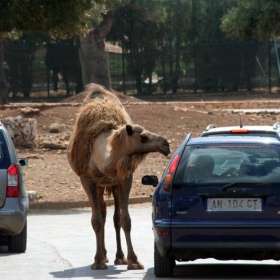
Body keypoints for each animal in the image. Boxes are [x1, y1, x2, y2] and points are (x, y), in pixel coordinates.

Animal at [68, 82, 171, 270]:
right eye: (143, 137)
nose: (165, 144)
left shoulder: (124, 179)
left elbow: (125, 220)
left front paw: (133, 260)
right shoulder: (87, 180)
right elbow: (96, 220)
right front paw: (98, 261)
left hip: (111, 185)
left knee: (113, 217)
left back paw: (118, 257)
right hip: (99, 185)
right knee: (101, 214)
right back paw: (103, 256)